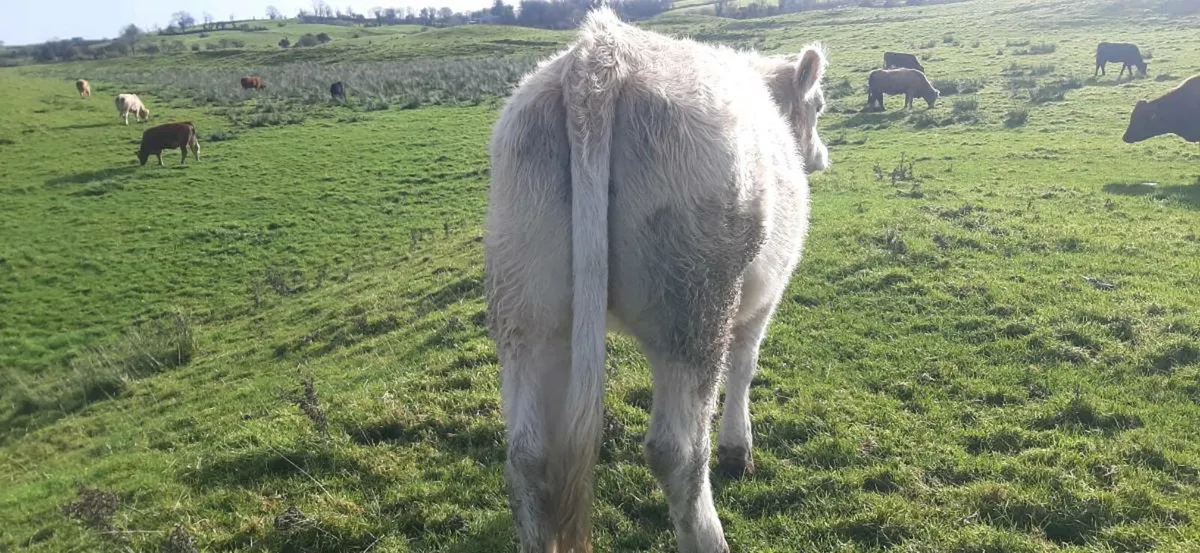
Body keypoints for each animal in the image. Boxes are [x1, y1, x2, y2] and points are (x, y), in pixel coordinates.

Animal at [484, 8, 829, 553]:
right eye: (819, 105)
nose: (821, 156)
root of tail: (600, 56)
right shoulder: (765, 295)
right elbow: (745, 364)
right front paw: (738, 449)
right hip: (695, 307)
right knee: (677, 450)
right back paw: (710, 537)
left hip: (525, 300)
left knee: (527, 454)